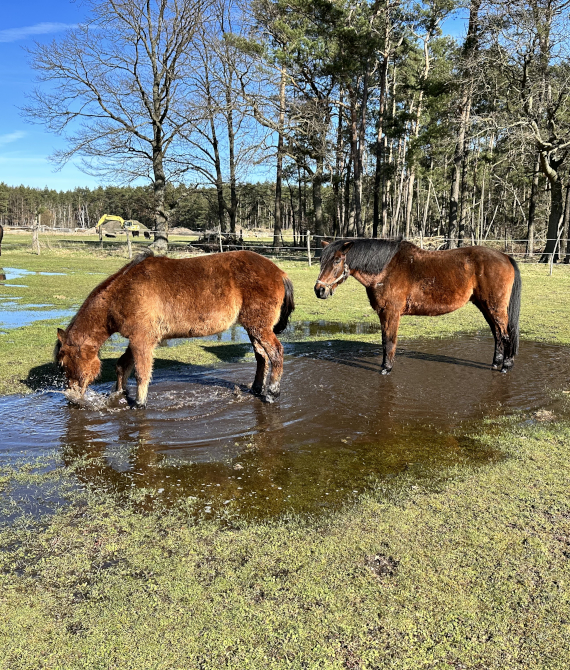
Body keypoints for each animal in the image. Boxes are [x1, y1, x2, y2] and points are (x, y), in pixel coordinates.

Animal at [54, 249, 292, 406]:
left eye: (63, 365)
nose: (72, 399)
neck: (123, 293)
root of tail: (279, 272)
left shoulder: (142, 340)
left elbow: (141, 373)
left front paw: (139, 403)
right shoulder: (138, 339)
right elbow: (122, 366)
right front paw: (118, 393)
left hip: (259, 328)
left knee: (276, 353)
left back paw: (272, 393)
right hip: (253, 329)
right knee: (262, 357)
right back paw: (257, 389)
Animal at [316, 239, 520, 376]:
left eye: (337, 260)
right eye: (321, 260)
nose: (319, 290)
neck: (386, 269)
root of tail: (505, 257)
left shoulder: (391, 313)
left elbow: (389, 341)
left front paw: (386, 368)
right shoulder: (384, 313)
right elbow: (385, 341)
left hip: (495, 308)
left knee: (505, 334)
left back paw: (506, 366)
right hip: (485, 307)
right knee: (497, 334)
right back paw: (496, 363)